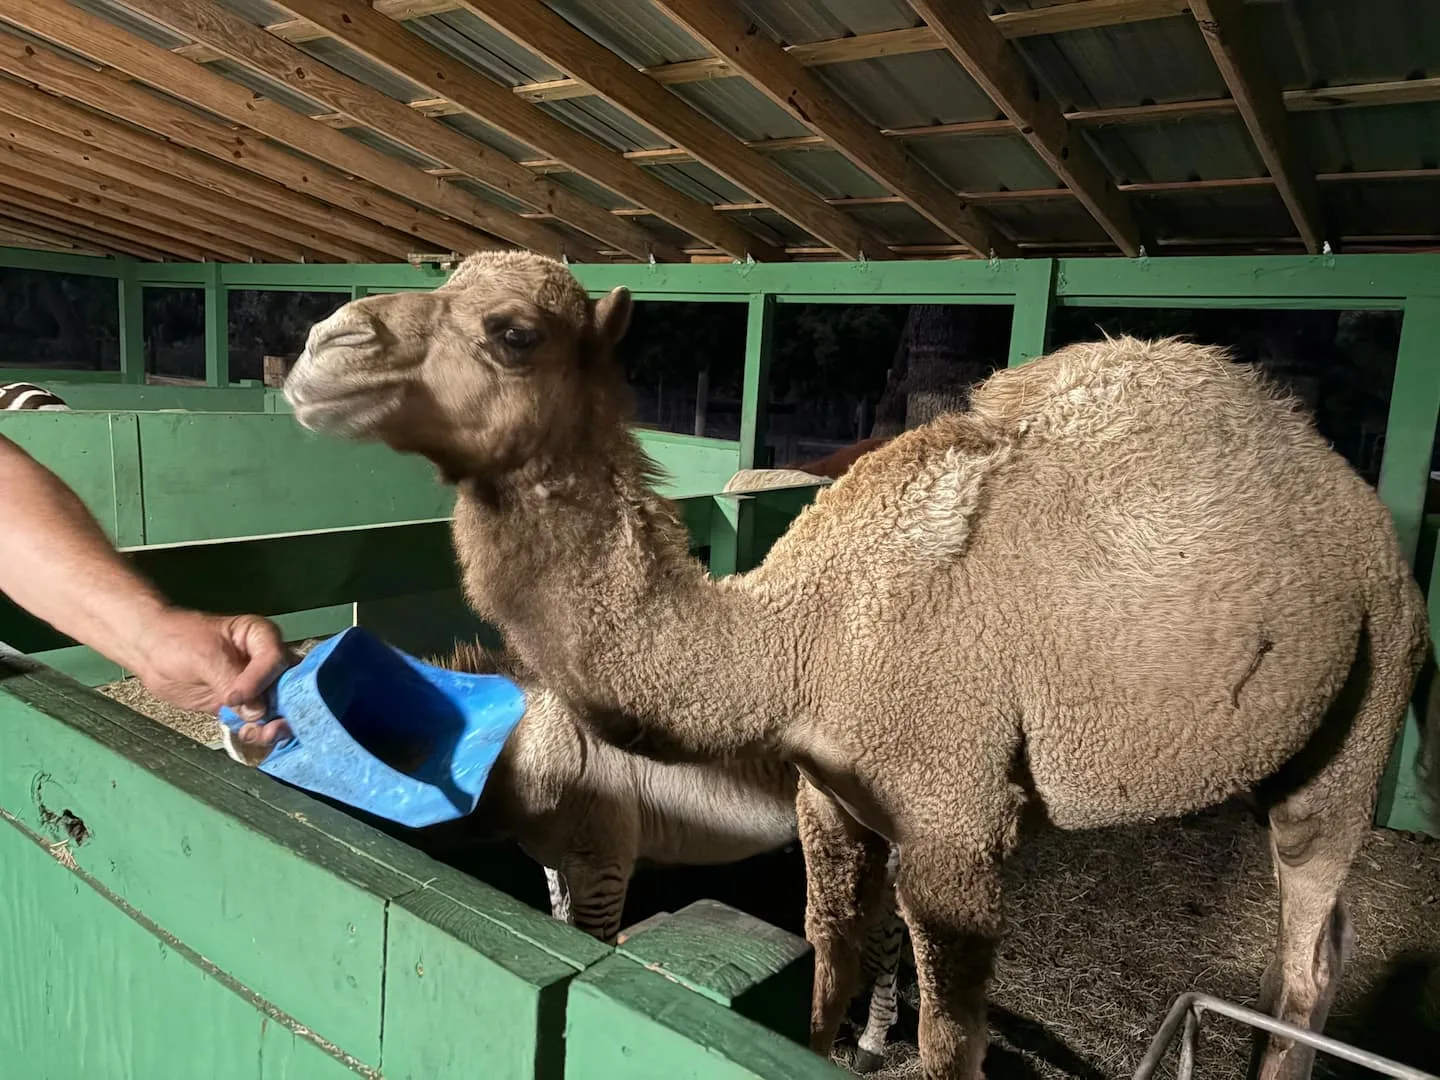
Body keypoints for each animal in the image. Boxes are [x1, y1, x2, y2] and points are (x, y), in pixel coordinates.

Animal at [283, 251, 1435, 1080]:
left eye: (513, 332)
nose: (321, 345)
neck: (802, 639)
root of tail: (1365, 514)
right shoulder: (831, 798)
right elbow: (829, 957)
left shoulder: (955, 824)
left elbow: (951, 1041)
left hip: (1365, 704)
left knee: (1311, 952)